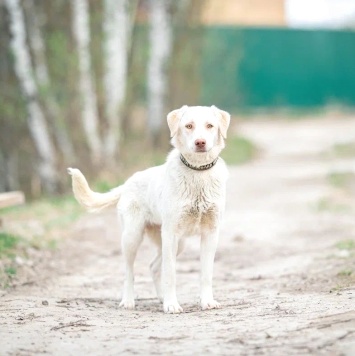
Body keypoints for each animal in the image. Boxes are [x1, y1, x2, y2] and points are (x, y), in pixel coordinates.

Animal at [68, 104, 231, 312]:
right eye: (189, 126)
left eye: (210, 125)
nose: (200, 142)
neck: (197, 173)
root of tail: (127, 183)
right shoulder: (171, 233)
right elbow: (170, 274)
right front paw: (172, 305)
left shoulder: (210, 233)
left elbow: (206, 274)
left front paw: (207, 301)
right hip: (132, 237)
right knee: (129, 272)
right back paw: (128, 301)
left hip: (177, 243)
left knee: (153, 267)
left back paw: (161, 298)